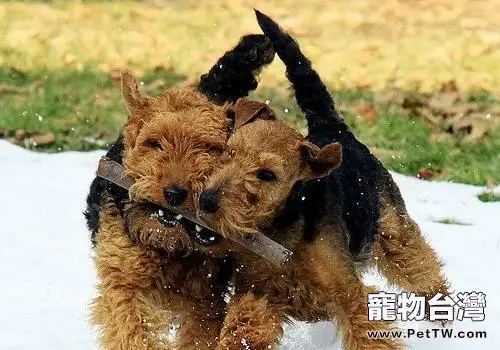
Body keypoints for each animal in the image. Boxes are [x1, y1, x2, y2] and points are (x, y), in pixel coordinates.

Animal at [84, 33, 276, 350]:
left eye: (209, 148)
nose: (174, 193)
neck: (167, 244)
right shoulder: (124, 281)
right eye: (154, 143)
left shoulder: (205, 299)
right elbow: (133, 328)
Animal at [197, 9, 452, 348]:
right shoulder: (258, 294)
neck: (285, 228)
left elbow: (368, 334)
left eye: (267, 174)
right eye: (228, 152)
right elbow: (242, 330)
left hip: (395, 236)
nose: (207, 200)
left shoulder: (349, 293)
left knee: (426, 274)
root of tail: (331, 126)